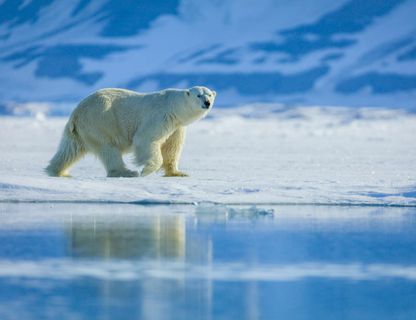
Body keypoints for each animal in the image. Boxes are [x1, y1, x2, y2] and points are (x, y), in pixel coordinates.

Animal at [45, 86, 216, 178]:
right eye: (198, 95)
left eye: (209, 94)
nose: (207, 102)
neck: (174, 106)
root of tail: (76, 112)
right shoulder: (160, 116)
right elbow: (146, 139)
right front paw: (146, 170)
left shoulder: (176, 126)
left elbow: (172, 148)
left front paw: (178, 173)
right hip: (100, 121)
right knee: (109, 149)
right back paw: (126, 172)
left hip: (81, 130)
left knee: (69, 150)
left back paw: (57, 171)